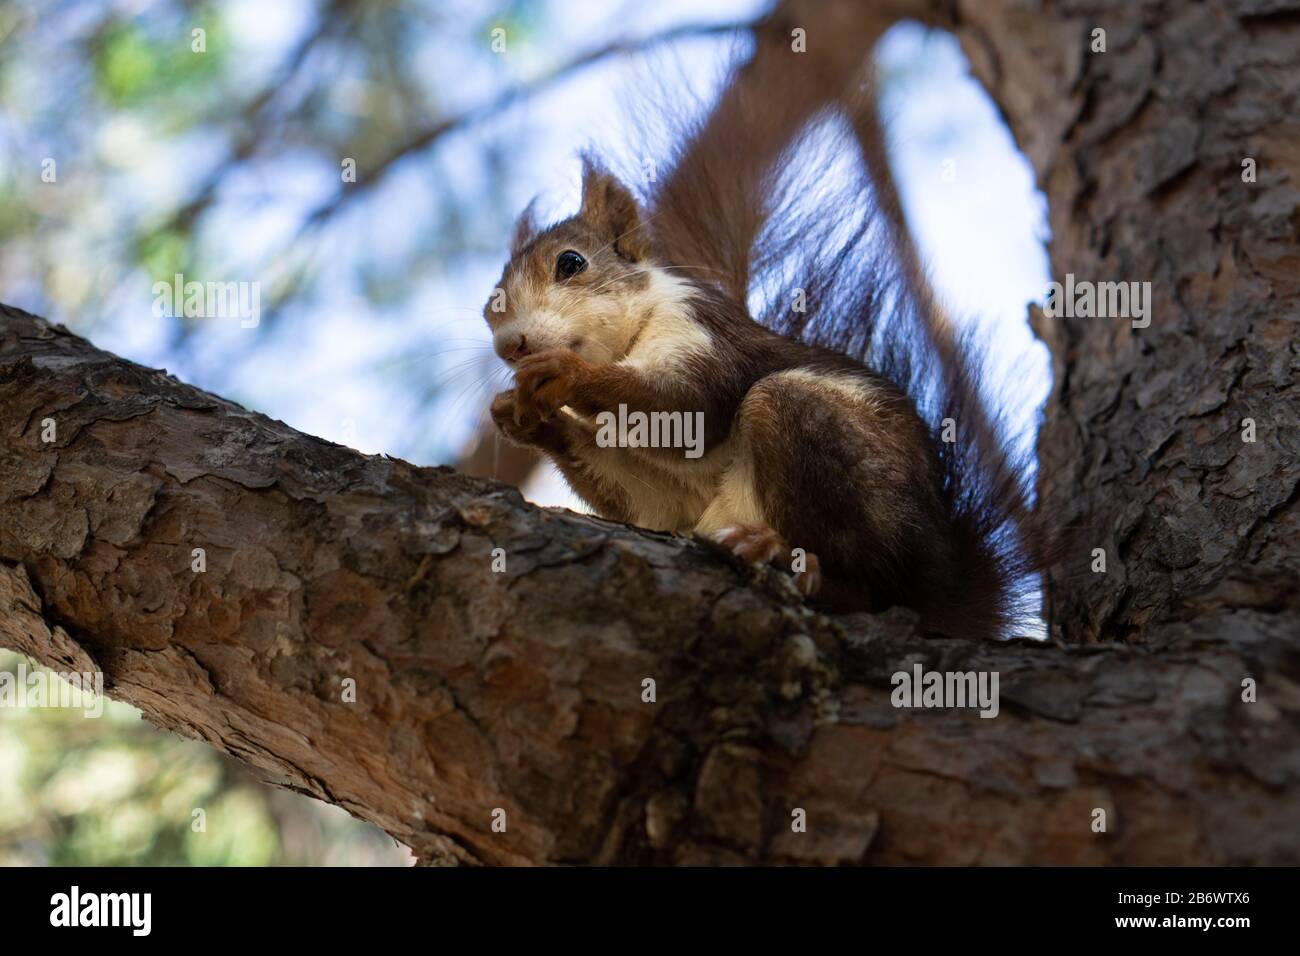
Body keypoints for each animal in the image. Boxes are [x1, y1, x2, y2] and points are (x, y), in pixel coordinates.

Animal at [480, 31, 1043, 642]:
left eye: (571, 263)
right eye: (488, 307)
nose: (509, 347)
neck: (632, 335)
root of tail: (942, 585)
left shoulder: (705, 330)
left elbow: (688, 407)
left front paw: (566, 375)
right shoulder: (676, 496)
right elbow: (647, 493)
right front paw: (523, 416)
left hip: (836, 460)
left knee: (870, 587)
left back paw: (798, 565)